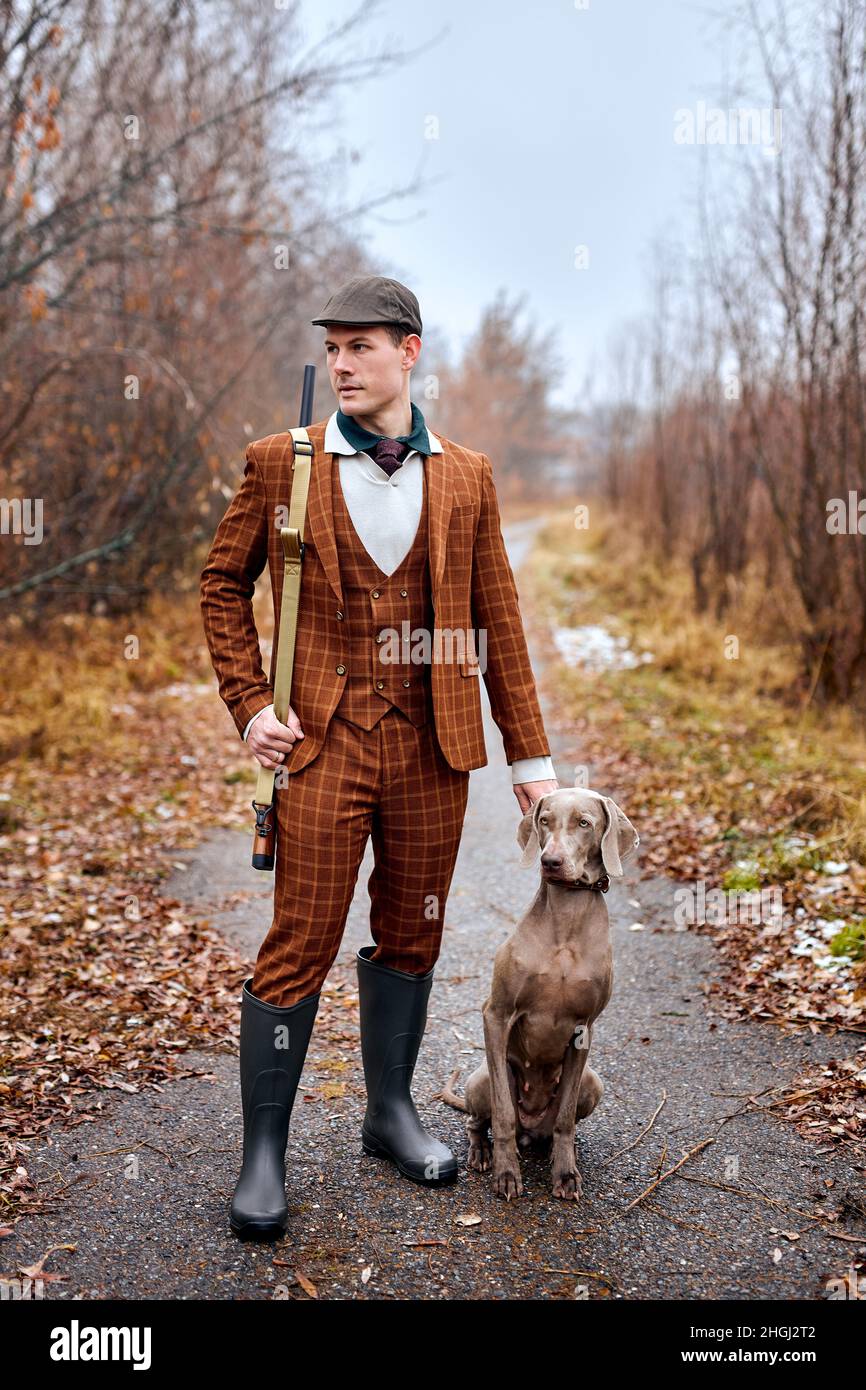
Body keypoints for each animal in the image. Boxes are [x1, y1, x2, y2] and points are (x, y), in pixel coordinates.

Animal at [444, 789, 639, 1200]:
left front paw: (565, 1173)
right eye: (545, 821)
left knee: (556, 1125)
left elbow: (565, 1120)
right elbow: (502, 1114)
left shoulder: (585, 1028)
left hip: (593, 1082)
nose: (550, 861)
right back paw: (482, 1152)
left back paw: (549, 1147)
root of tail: (530, 1130)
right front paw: (506, 1173)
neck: (566, 920)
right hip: (483, 1078)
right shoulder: (496, 1014)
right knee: (479, 1121)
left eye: (584, 823)